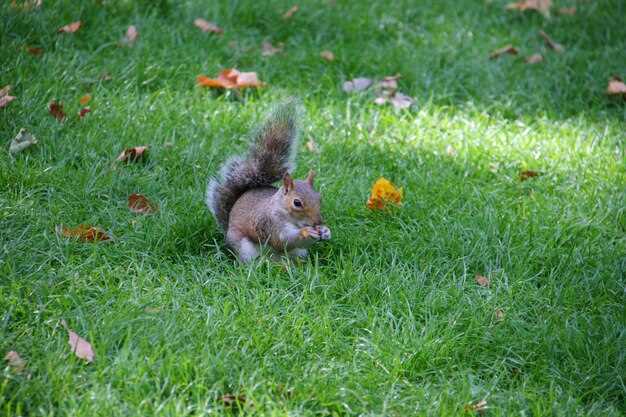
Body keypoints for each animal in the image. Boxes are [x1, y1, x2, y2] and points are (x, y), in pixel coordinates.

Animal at [206, 98, 332, 262]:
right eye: (297, 203)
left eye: (319, 198)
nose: (318, 222)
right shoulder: (269, 223)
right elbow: (282, 241)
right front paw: (305, 232)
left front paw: (326, 231)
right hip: (245, 249)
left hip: (298, 253)